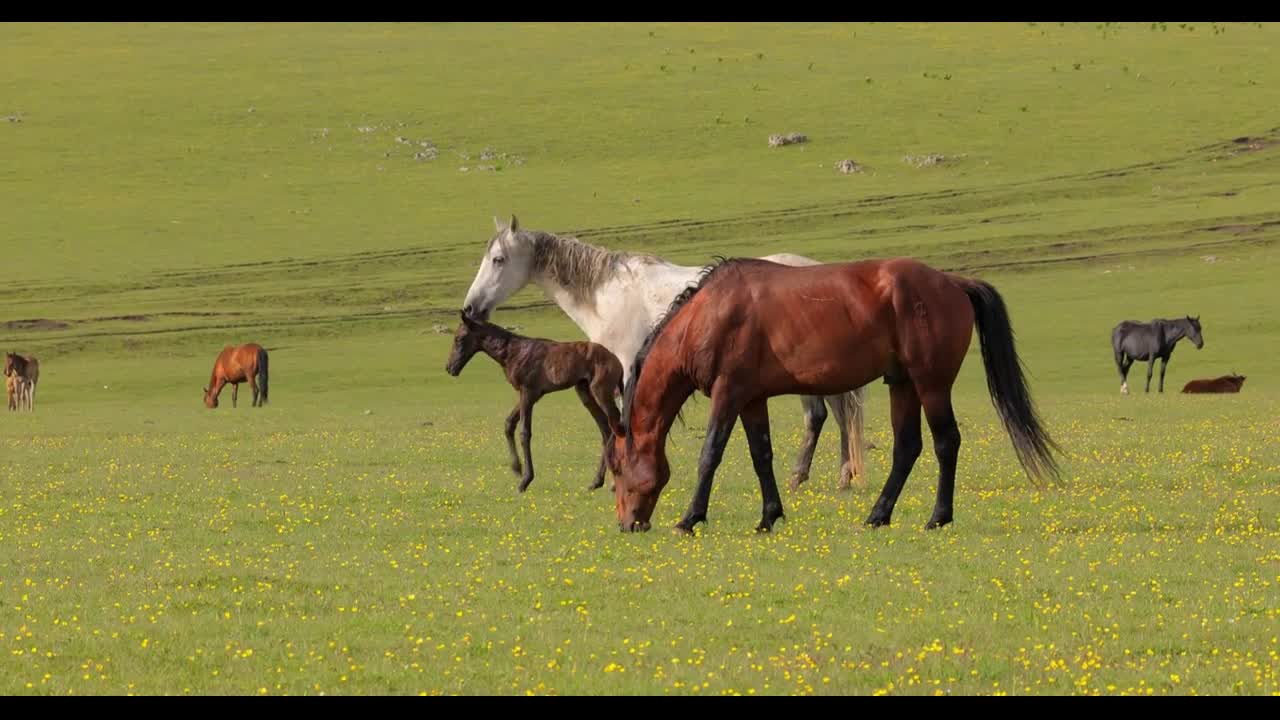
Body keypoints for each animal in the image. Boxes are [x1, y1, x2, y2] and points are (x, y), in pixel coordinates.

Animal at [445, 311, 624, 489]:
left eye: (459, 339)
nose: (450, 368)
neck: (513, 352)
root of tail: (617, 362)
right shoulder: (528, 395)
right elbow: (509, 423)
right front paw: (517, 468)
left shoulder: (528, 392)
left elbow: (524, 433)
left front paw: (525, 480)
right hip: (584, 392)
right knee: (605, 428)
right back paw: (597, 481)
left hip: (601, 392)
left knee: (615, 424)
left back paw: (614, 481)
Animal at [609, 257, 1059, 532]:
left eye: (617, 472)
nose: (628, 524)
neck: (710, 313)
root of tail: (952, 282)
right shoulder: (752, 399)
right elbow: (761, 455)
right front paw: (769, 517)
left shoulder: (728, 392)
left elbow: (710, 455)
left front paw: (690, 518)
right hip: (902, 385)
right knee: (906, 448)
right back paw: (878, 515)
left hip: (931, 385)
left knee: (946, 442)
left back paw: (937, 517)